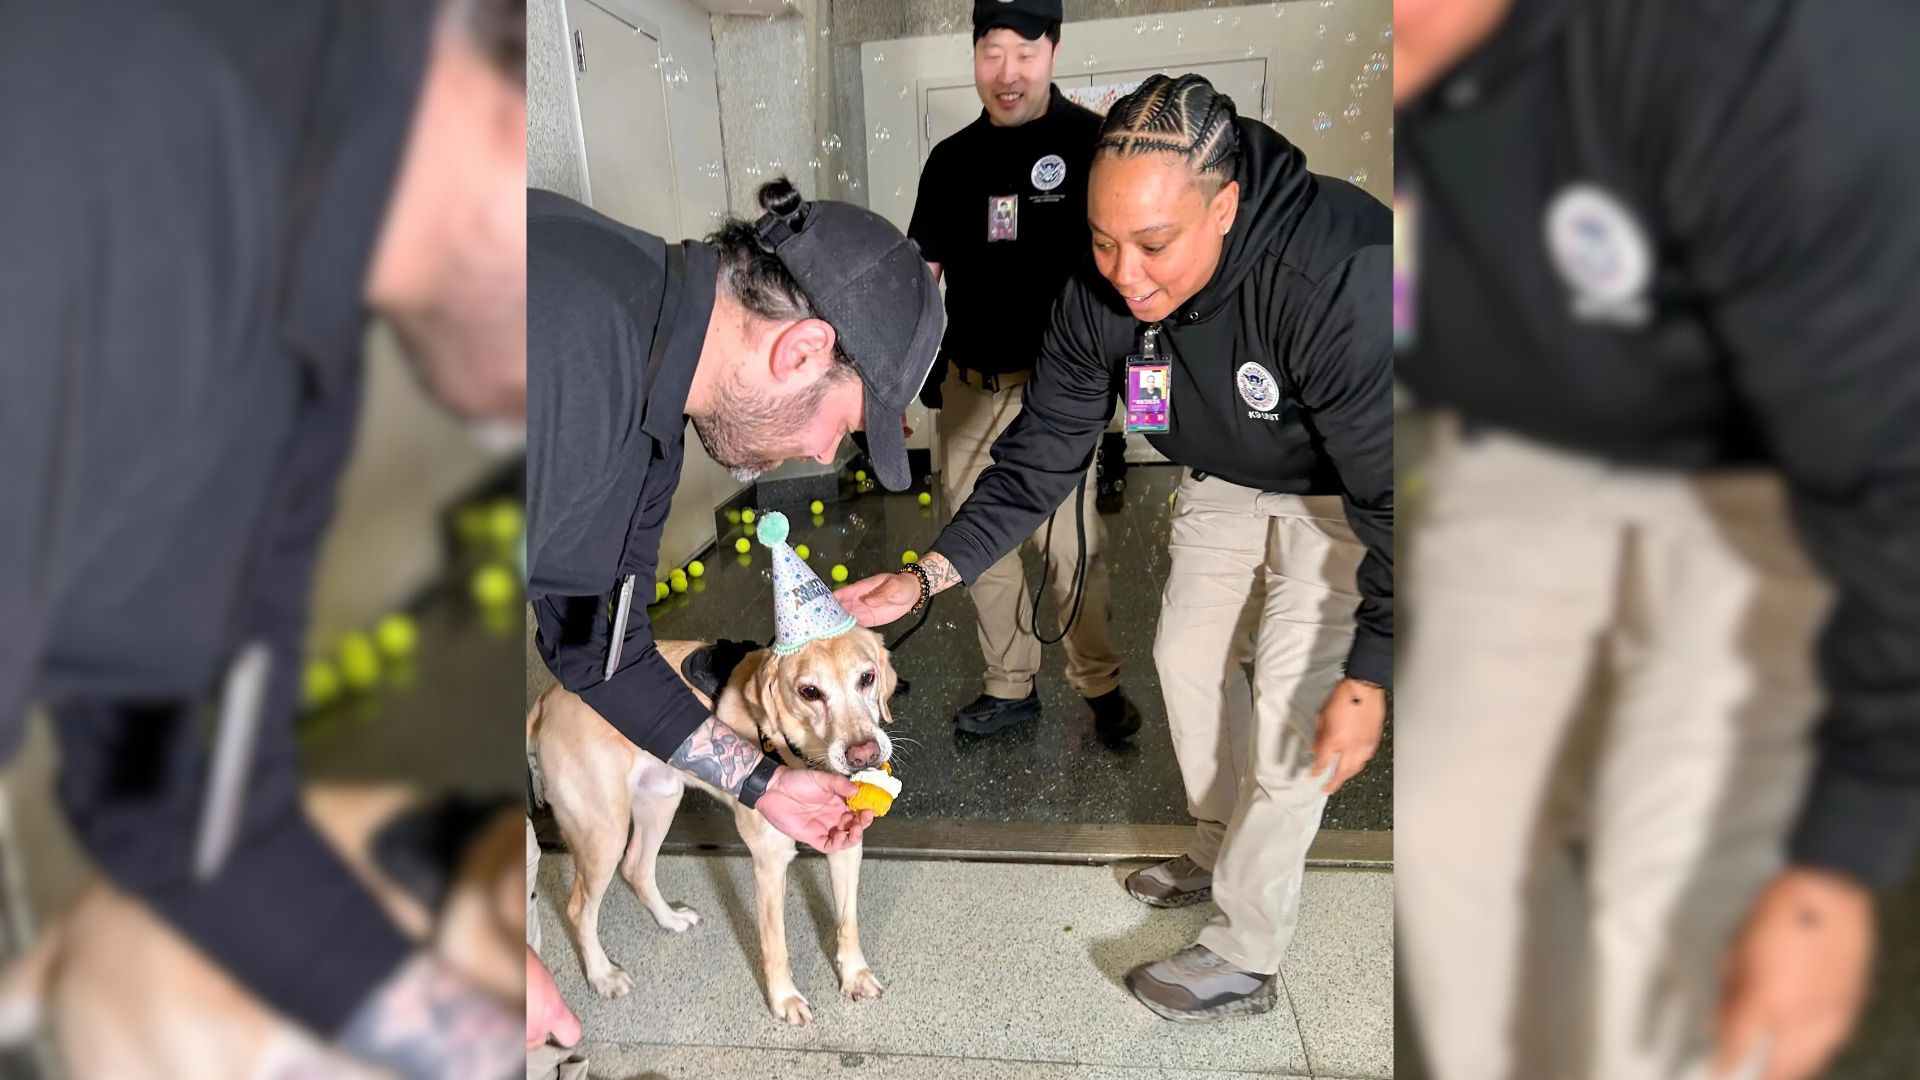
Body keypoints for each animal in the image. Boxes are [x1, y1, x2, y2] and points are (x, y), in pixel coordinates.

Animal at [533, 626, 898, 1022]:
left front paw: (855, 975)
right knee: (579, 908)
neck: (801, 753)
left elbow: (848, 923)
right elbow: (775, 943)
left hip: (661, 800)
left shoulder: (846, 844)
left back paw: (670, 919)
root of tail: (547, 698)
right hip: (604, 834)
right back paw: (602, 975)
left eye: (867, 678)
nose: (864, 754)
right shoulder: (770, 863)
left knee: (636, 869)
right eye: (809, 692)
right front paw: (784, 999)